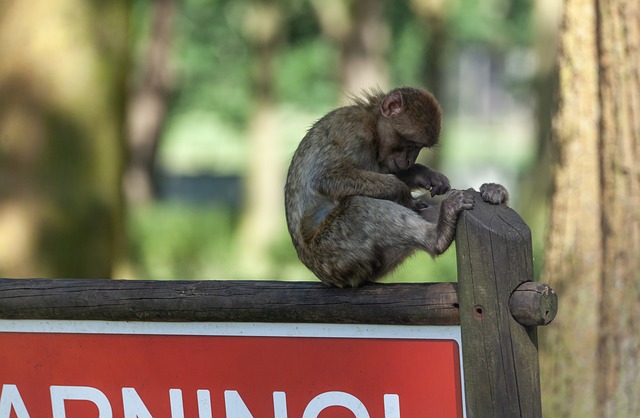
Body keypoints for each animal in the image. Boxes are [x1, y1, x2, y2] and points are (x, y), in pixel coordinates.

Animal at [284, 86, 510, 286]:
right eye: (411, 144)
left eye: (419, 148)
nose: (410, 160)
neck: (372, 125)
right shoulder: (352, 132)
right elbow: (326, 178)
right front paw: (401, 191)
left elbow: (388, 172)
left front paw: (427, 176)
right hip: (335, 252)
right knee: (357, 207)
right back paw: (438, 236)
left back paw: (495, 194)